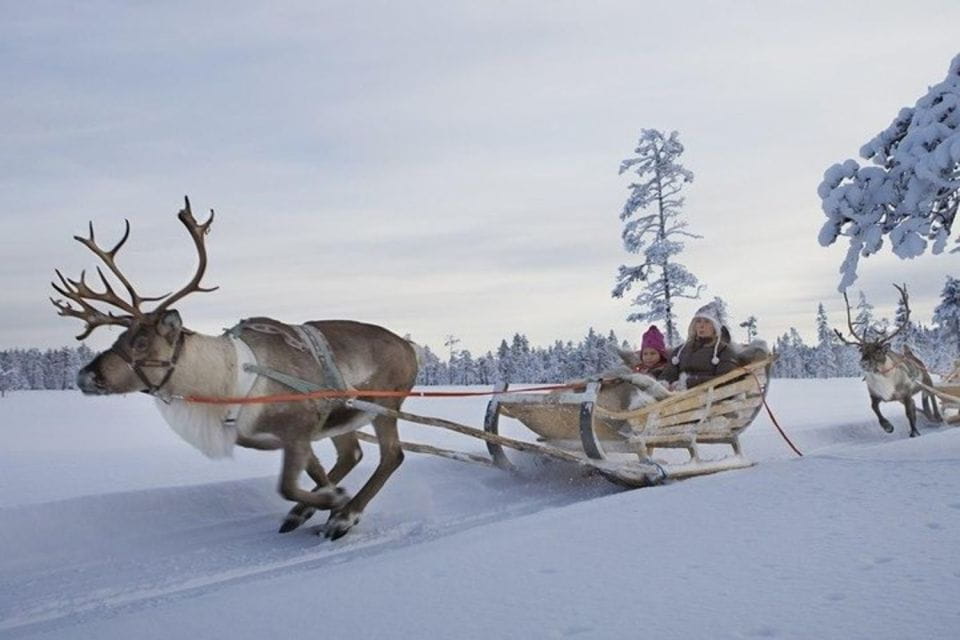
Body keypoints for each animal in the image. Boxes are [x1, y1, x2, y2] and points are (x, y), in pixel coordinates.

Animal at [50, 197, 419, 540]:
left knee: (393, 455)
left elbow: (287, 486)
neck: (227, 380)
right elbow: (316, 475)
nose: (85, 375)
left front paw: (336, 504)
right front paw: (324, 501)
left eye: (141, 341)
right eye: (120, 336)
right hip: (346, 416)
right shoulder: (294, 434)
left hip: (384, 405)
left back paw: (345, 517)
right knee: (353, 453)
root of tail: (410, 349)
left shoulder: (298, 428)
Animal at [834, 284, 941, 438]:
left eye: (878, 351)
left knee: (931, 395)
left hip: (926, 379)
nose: (863, 363)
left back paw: (937, 417)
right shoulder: (875, 395)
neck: (883, 379)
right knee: (916, 404)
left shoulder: (906, 392)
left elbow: (909, 413)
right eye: (862, 350)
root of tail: (910, 354)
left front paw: (914, 433)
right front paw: (888, 426)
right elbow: (874, 408)